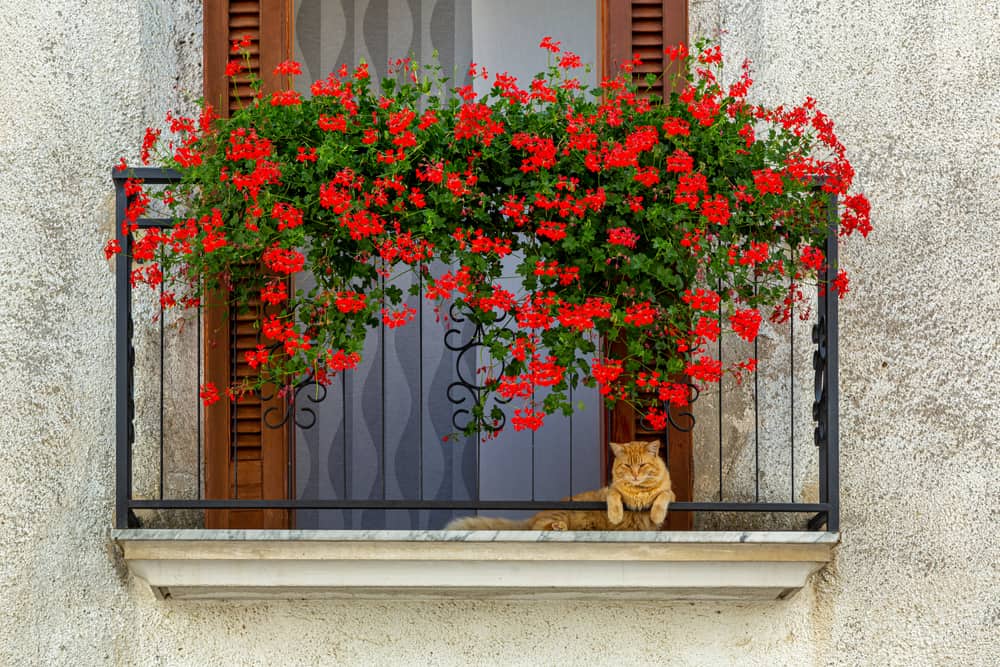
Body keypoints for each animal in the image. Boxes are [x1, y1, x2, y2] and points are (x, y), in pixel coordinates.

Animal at [444, 440, 672, 528]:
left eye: (642, 465)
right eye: (626, 466)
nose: (634, 475)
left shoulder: (670, 494)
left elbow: (661, 497)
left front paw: (656, 513)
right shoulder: (611, 490)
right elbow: (615, 497)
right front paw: (615, 515)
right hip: (562, 512)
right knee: (541, 526)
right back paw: (559, 527)